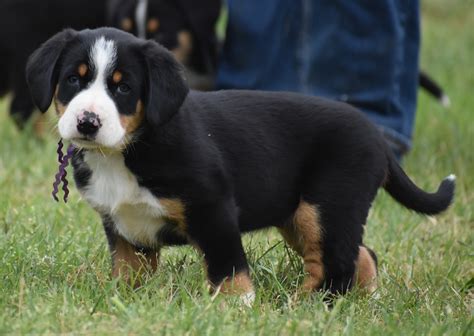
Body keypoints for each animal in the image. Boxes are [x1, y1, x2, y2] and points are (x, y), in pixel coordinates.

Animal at [26, 28, 456, 302]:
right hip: (300, 215)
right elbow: (128, 270)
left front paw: (235, 308)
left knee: (336, 267)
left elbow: (228, 267)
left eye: (123, 87)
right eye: (73, 80)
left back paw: (303, 307)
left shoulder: (213, 208)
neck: (125, 151)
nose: (87, 122)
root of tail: (376, 136)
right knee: (359, 255)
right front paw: (122, 302)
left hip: (327, 205)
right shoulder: (122, 226)